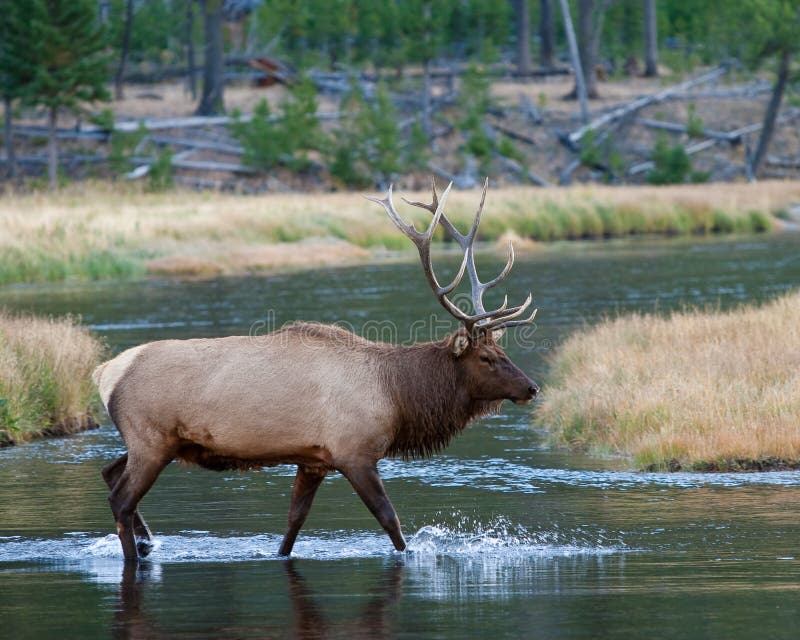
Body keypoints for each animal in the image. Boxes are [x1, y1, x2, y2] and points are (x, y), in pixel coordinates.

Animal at [92, 179, 536, 560]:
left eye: (502, 350)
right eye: (486, 358)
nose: (531, 387)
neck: (397, 397)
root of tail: (104, 372)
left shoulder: (313, 459)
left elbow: (293, 523)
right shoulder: (354, 451)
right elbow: (390, 520)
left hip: (154, 441)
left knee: (109, 472)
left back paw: (150, 543)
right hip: (151, 438)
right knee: (121, 499)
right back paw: (135, 554)